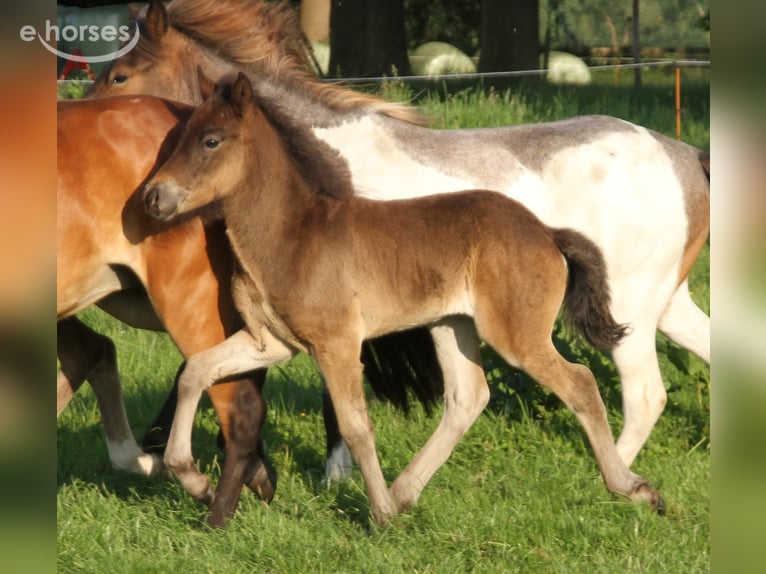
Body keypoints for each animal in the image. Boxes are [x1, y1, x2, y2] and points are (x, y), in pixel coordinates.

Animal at [90, 0, 710, 472]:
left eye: (119, 76)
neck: (315, 164)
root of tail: (683, 155)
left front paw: (334, 473)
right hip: (662, 306)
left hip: (626, 311)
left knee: (644, 397)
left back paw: (612, 477)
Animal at [142, 71, 664, 525]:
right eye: (178, 137)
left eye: (211, 141)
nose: (153, 198)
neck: (292, 235)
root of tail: (548, 233)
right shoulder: (270, 343)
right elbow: (195, 372)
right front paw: (189, 476)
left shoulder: (337, 344)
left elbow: (355, 425)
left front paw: (379, 516)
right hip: (452, 324)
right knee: (468, 396)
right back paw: (404, 491)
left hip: (515, 334)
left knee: (580, 383)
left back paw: (632, 487)